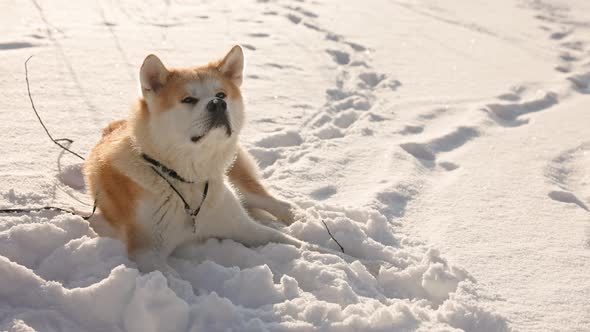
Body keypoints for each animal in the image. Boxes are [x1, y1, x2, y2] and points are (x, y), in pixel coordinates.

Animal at [86, 46, 314, 274]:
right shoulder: (146, 252)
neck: (188, 180)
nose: (218, 104)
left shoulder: (245, 228)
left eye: (221, 94)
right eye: (188, 99)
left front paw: (317, 251)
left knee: (277, 202)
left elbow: (286, 239)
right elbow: (171, 279)